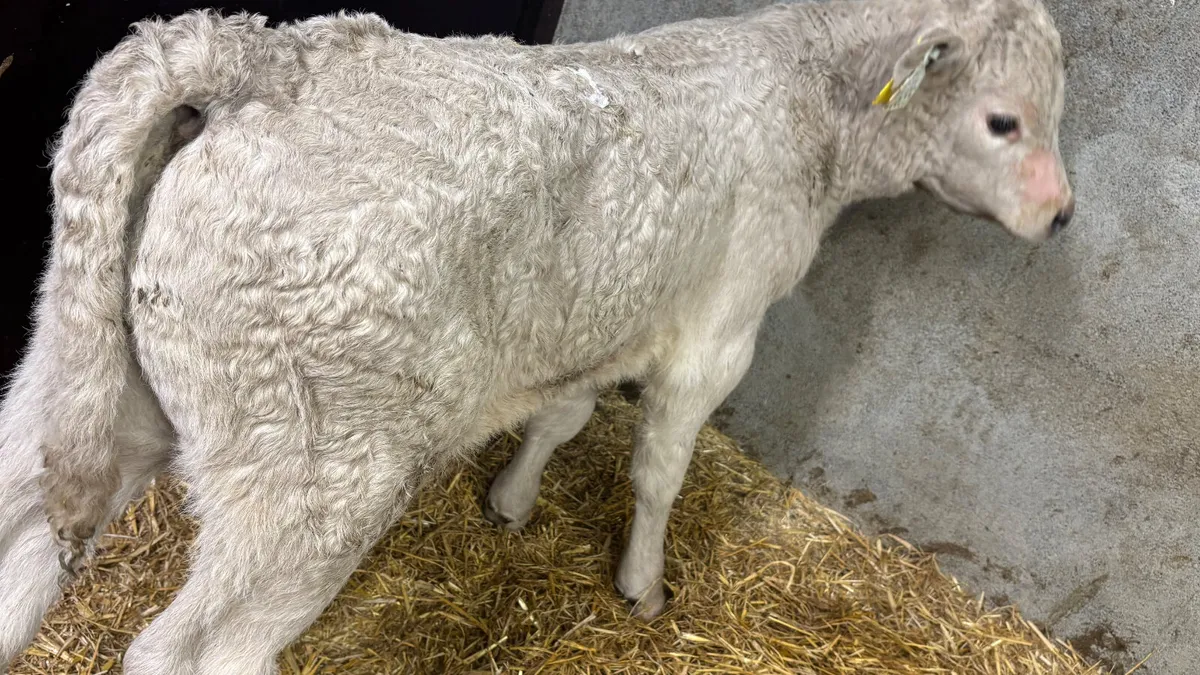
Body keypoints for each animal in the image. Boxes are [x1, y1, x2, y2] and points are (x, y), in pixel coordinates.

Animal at [0, 0, 1073, 671]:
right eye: (1004, 120)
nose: (1062, 216)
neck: (802, 91)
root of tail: (262, 59)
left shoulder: (594, 311)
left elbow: (562, 415)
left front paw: (512, 500)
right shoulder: (717, 333)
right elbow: (659, 469)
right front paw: (642, 584)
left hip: (85, 382)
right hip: (314, 474)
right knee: (194, 650)